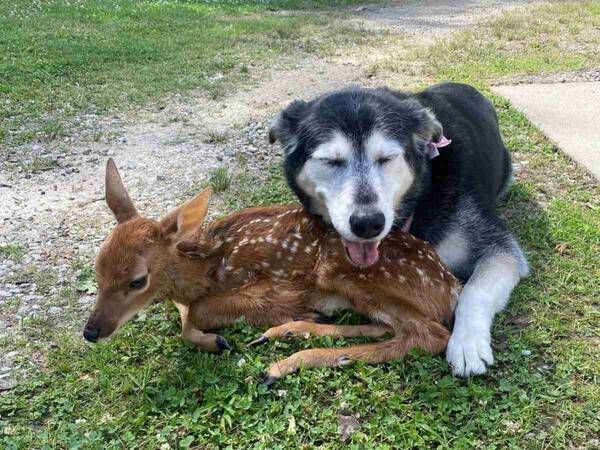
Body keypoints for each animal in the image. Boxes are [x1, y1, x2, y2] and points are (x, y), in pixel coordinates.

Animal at [270, 81, 528, 376]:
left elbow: (475, 290)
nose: (368, 223)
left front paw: (467, 344)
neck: (422, 193)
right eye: (331, 161)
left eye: (387, 158)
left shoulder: (499, 248)